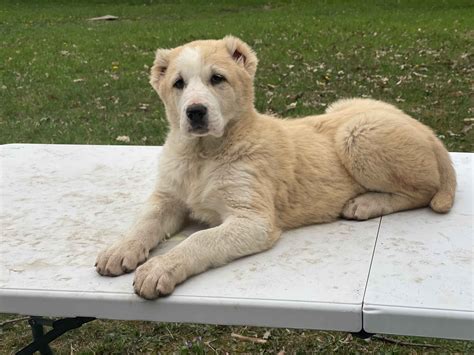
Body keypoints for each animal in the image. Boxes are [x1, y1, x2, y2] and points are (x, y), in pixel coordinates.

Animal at [95, 36, 456, 298]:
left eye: (217, 79)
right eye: (178, 83)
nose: (195, 112)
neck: (203, 155)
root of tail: (427, 130)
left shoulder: (253, 221)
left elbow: (199, 239)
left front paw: (160, 268)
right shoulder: (168, 198)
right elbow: (145, 221)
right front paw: (120, 248)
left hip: (358, 134)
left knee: (423, 191)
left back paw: (366, 203)